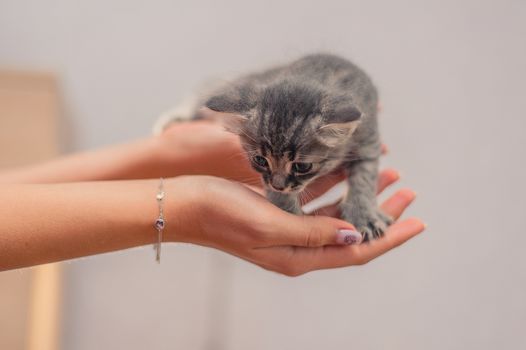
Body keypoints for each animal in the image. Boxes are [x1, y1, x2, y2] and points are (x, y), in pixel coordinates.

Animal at [159, 54, 394, 241]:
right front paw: (287, 211)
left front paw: (364, 216)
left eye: (302, 166)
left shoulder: (368, 139)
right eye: (260, 160)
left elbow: (364, 179)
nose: (278, 185)